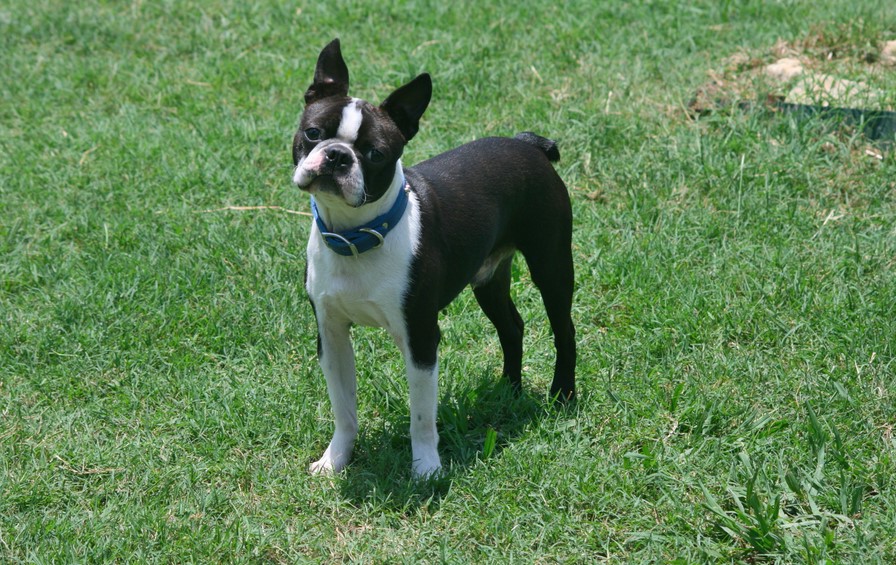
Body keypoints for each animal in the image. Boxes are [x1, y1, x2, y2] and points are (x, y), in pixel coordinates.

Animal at [290, 38, 576, 476]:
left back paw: (562, 395)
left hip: (551, 262)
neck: (356, 236)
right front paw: (335, 460)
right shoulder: (331, 334)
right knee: (512, 327)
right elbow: (344, 408)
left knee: (564, 330)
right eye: (313, 132)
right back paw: (508, 390)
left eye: (375, 154)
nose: (337, 155)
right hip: (488, 278)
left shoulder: (421, 336)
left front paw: (426, 468)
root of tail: (527, 144)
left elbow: (422, 414)